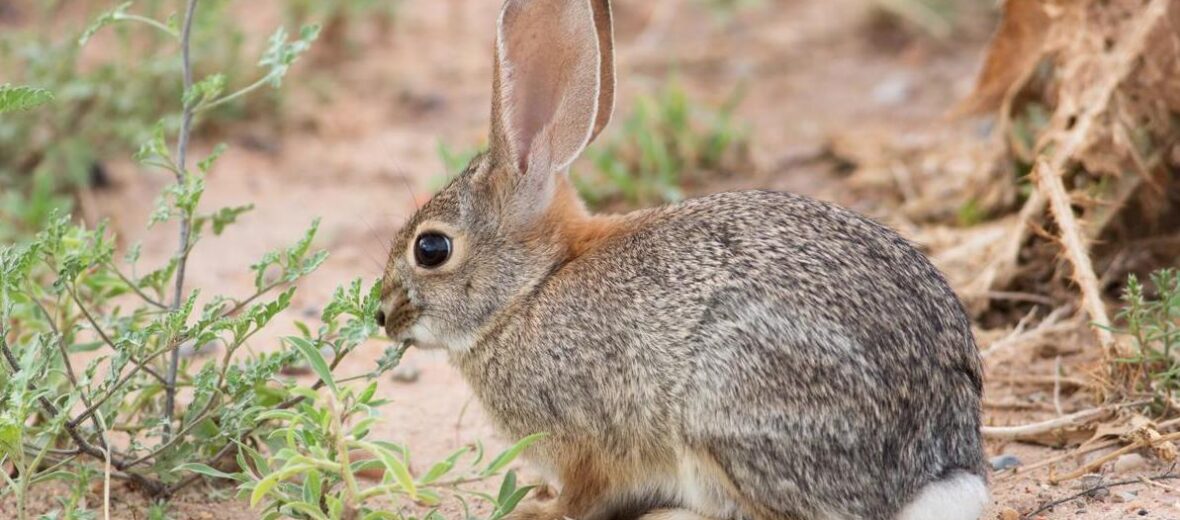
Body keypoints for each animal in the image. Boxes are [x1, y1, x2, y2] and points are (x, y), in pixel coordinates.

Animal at [379, 2, 986, 516]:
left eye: (431, 249)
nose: (383, 314)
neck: (531, 288)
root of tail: (932, 471)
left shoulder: (586, 440)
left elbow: (581, 495)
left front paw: (536, 508)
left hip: (726, 409)